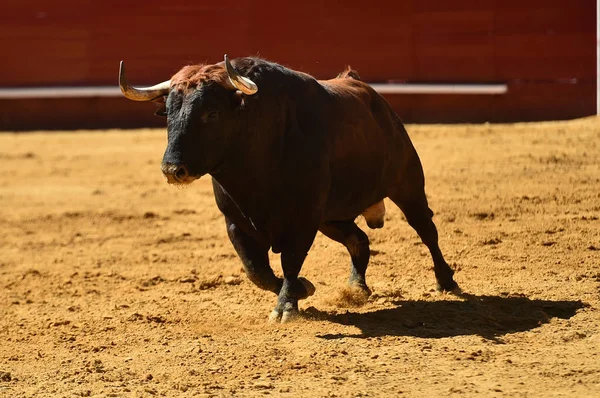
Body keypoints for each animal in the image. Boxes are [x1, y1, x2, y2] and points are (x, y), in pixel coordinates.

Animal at [118, 55, 460, 324]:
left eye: (211, 113)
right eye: (168, 113)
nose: (172, 169)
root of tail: (372, 97)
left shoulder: (302, 220)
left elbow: (291, 260)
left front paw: (285, 307)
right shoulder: (236, 223)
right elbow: (256, 269)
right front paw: (302, 289)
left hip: (408, 186)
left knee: (426, 231)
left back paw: (446, 282)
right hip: (332, 218)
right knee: (359, 240)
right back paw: (356, 288)